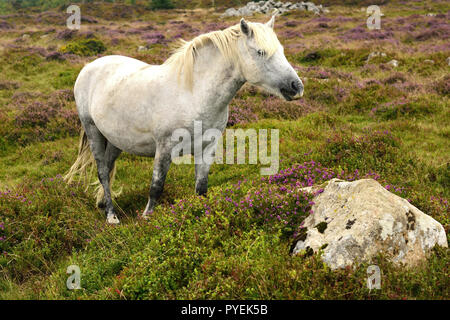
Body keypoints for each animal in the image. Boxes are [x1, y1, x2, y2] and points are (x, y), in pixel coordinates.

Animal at [64, 16, 302, 224]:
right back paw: (111, 216)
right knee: (103, 171)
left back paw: (104, 204)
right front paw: (147, 219)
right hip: (93, 131)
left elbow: (201, 187)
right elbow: (156, 186)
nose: (296, 87)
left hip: (115, 140)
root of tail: (88, 67)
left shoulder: (207, 149)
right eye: (260, 52)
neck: (193, 94)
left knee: (108, 167)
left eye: (281, 50)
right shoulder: (165, 147)